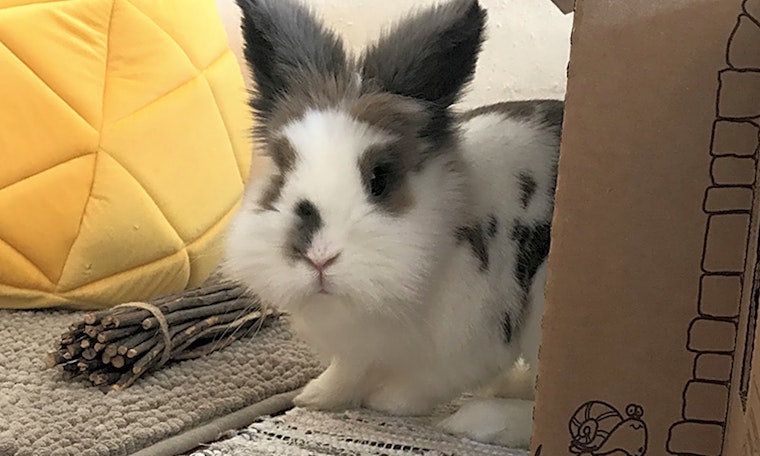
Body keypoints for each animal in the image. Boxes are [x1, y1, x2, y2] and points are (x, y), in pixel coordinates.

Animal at [223, 0, 563, 448]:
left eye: (379, 179)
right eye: (281, 170)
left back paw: (477, 419)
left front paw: (386, 402)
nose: (319, 258)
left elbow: (425, 383)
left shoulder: (472, 340)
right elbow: (345, 369)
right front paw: (315, 397)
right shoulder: (357, 344)